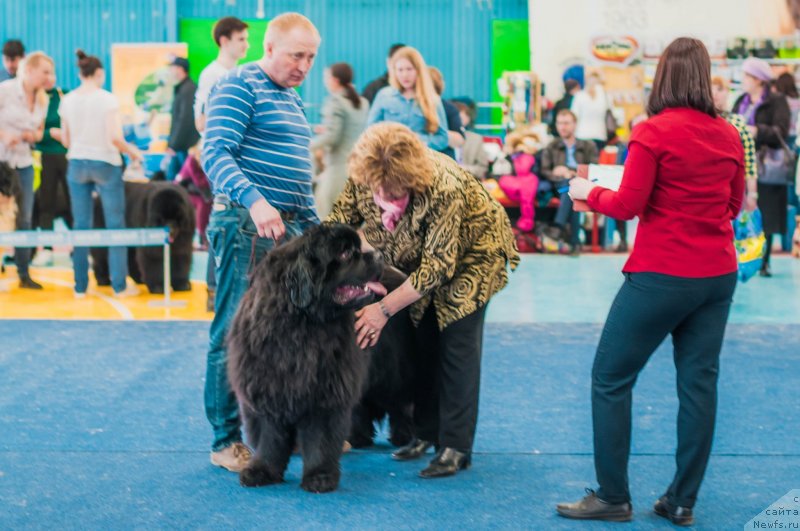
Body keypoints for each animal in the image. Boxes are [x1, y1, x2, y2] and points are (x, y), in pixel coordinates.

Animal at [225, 223, 388, 494]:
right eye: (345, 253)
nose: (378, 254)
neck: (301, 324)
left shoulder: (325, 393)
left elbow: (320, 437)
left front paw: (319, 477)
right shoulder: (267, 387)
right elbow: (269, 437)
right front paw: (262, 471)